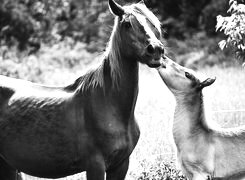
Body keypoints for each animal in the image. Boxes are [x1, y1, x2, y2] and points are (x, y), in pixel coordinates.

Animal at [0, 0, 165, 179]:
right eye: (127, 24)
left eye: (153, 24)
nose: (156, 50)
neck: (109, 103)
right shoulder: (95, 165)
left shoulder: (121, 165)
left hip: (8, 166)